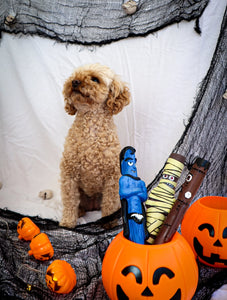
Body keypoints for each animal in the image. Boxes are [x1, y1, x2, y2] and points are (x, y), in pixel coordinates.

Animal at [59, 63, 130, 227]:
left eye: (95, 79)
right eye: (74, 75)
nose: (74, 82)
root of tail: (92, 206)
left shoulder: (112, 177)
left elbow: (109, 203)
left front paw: (108, 223)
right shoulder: (68, 173)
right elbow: (69, 201)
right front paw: (67, 224)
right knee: (78, 203)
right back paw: (80, 211)